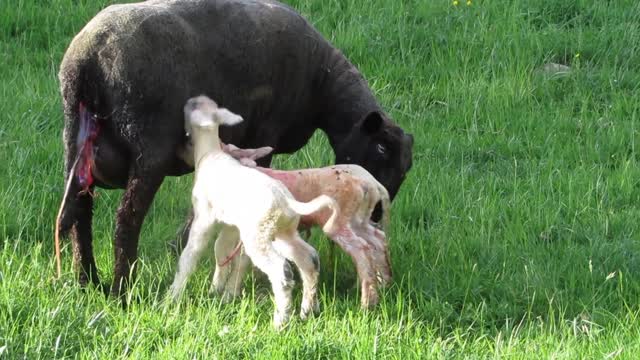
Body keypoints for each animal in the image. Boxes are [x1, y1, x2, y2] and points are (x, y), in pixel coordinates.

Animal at [170, 95, 340, 330]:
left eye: (194, 106)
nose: (188, 100)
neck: (209, 154)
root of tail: (286, 201)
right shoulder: (231, 225)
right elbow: (221, 249)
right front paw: (216, 290)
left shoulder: (204, 217)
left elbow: (190, 255)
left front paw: (172, 296)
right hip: (284, 232)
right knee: (309, 258)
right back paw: (308, 310)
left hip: (258, 235)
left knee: (281, 270)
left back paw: (280, 322)